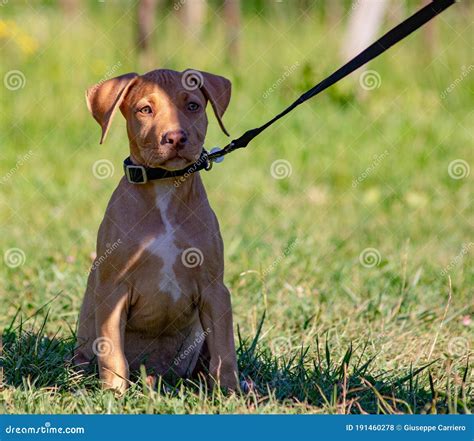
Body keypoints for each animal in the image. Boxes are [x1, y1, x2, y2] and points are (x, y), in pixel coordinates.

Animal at [76, 69, 239, 392]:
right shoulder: (112, 289)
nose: (175, 137)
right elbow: (112, 351)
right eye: (145, 110)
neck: (164, 185)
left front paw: (231, 392)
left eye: (192, 106)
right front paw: (114, 393)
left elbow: (225, 350)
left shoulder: (214, 289)